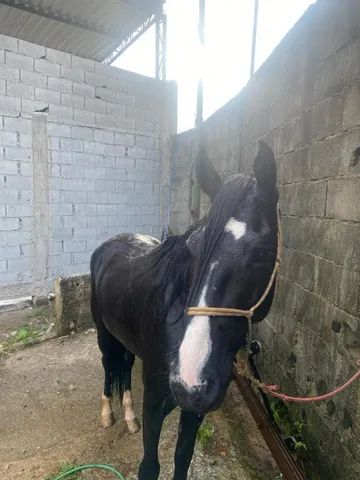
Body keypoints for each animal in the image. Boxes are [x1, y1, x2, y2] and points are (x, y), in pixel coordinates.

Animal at [89, 142, 278, 480]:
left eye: (262, 253)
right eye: (192, 249)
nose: (190, 380)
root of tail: (110, 244)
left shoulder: (194, 409)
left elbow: (183, 457)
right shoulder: (154, 402)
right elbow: (149, 467)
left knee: (124, 366)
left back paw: (129, 417)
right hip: (103, 334)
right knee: (109, 366)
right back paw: (108, 414)